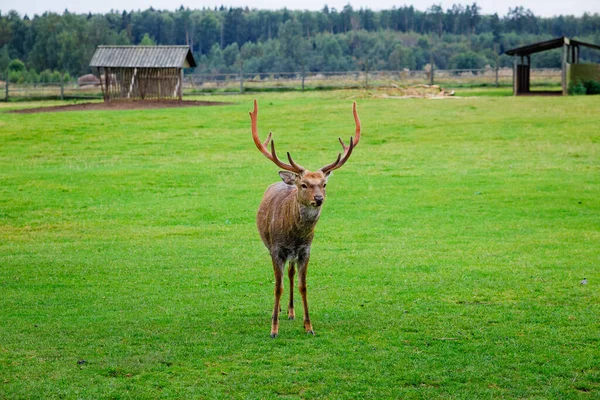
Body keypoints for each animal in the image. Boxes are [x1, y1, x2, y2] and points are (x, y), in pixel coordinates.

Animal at [248, 100, 360, 338]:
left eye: (324, 184)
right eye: (304, 184)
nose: (318, 199)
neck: (294, 235)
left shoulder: (305, 250)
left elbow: (303, 285)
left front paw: (309, 326)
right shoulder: (277, 249)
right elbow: (277, 286)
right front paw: (274, 328)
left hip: (293, 256)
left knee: (290, 274)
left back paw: (291, 311)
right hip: (269, 245)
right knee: (281, 278)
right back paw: (280, 312)